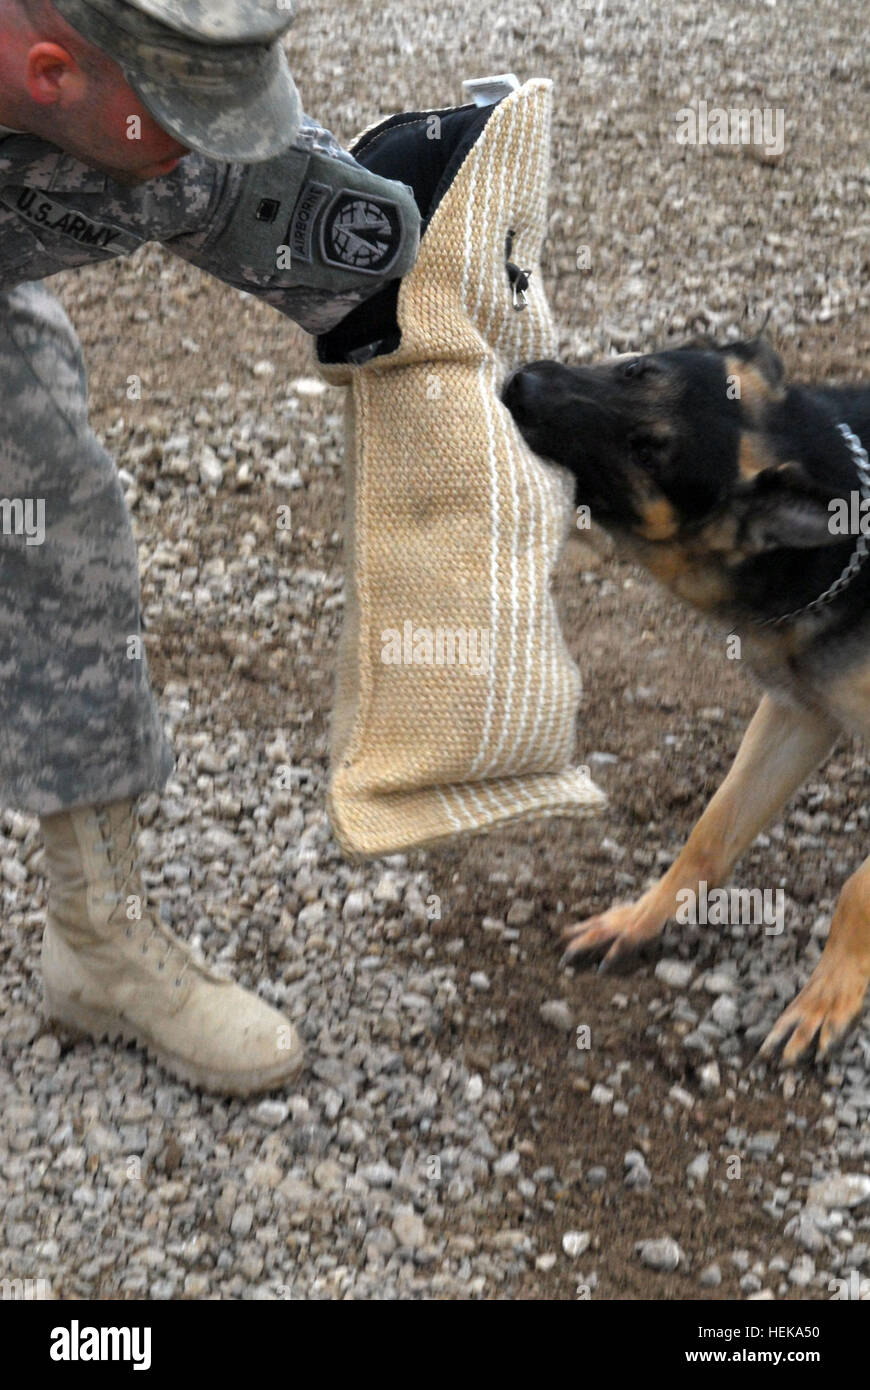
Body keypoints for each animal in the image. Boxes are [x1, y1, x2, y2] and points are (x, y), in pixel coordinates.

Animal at [500, 341, 867, 1067]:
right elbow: (711, 830)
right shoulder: (798, 715)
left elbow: (857, 891)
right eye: (634, 370)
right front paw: (645, 917)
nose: (519, 383)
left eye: (648, 451)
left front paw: (828, 995)